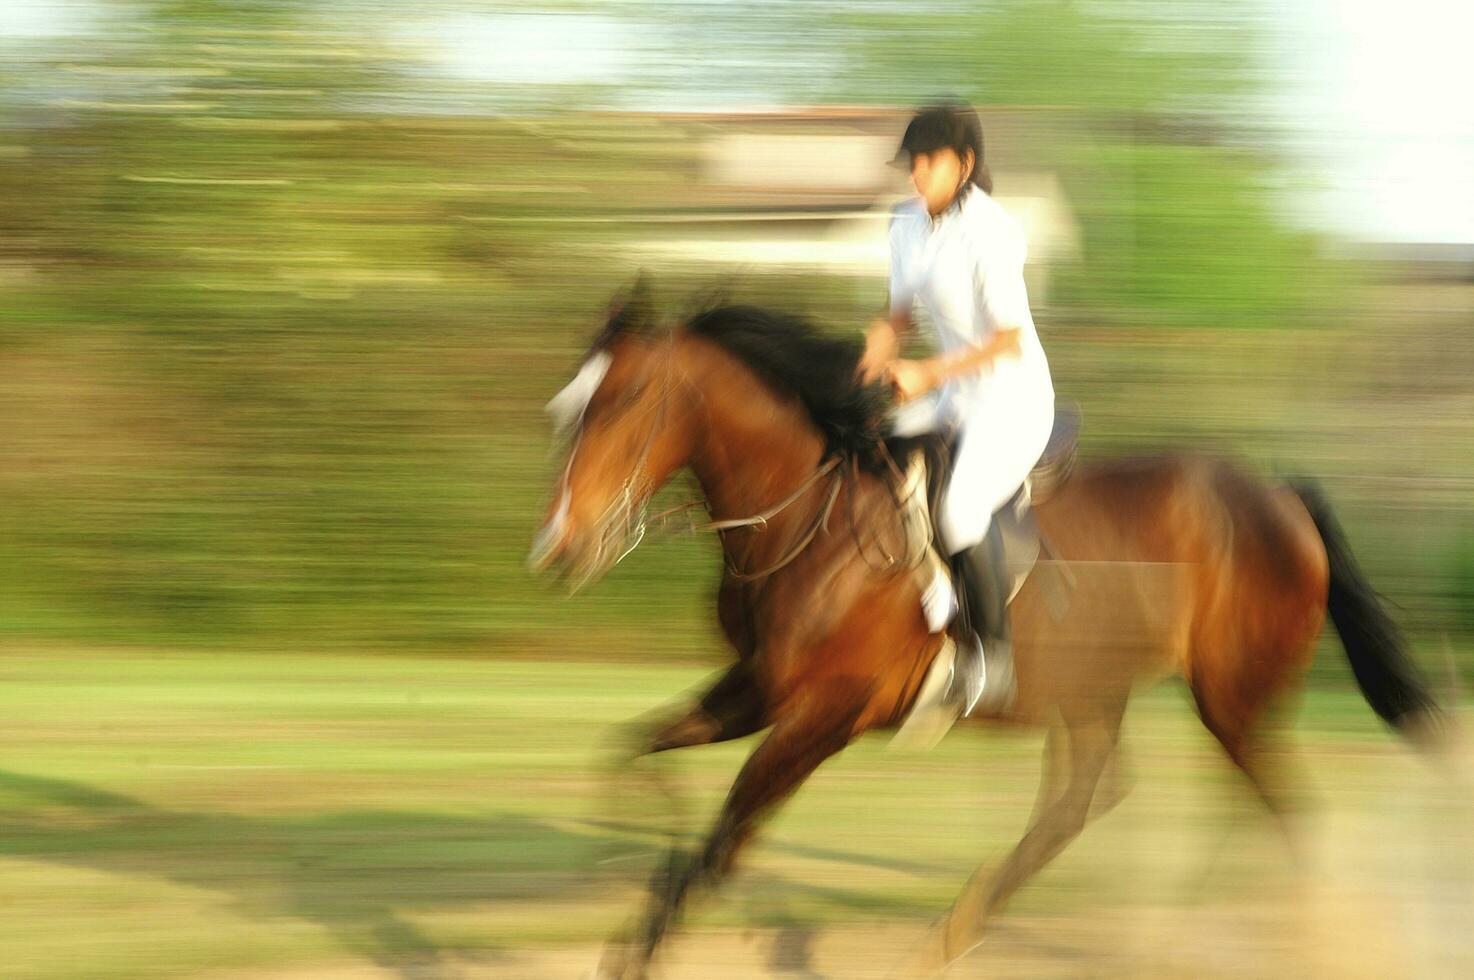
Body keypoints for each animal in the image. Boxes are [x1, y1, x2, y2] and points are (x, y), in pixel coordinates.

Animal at [530, 278, 1438, 972]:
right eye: (571, 407)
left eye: (627, 399)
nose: (558, 547)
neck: (809, 520)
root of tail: (1280, 496)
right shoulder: (758, 688)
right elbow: (633, 751)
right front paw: (619, 861)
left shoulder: (824, 715)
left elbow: (725, 836)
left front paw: (642, 945)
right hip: (1099, 694)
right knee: (1091, 799)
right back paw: (993, 925)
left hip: (1230, 696)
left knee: (1281, 810)